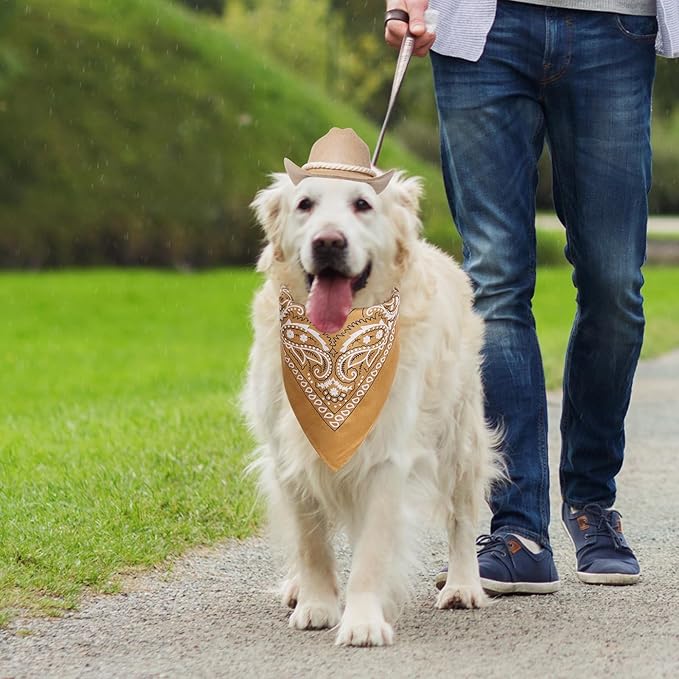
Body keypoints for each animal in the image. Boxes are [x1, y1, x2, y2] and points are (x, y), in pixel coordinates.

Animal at [242, 133, 502, 648]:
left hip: (460, 436)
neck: (334, 341)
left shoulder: (386, 454)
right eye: (305, 205)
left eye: (362, 204)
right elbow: (311, 541)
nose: (328, 242)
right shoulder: (288, 453)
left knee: (462, 514)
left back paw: (463, 585)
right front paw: (317, 605)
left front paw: (362, 621)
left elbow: (371, 552)